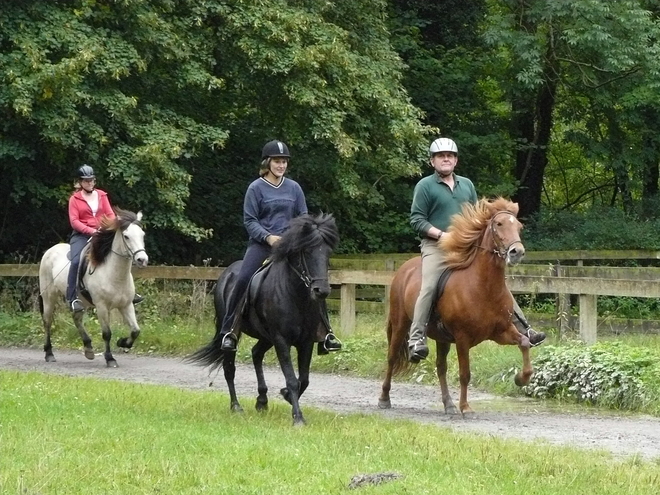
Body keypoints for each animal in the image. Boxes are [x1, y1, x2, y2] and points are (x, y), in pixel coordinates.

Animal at [187, 213, 338, 426]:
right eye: (306, 251)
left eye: (327, 253)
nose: (321, 291)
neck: (295, 296)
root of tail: (227, 272)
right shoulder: (281, 340)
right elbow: (292, 379)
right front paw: (298, 418)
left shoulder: (306, 342)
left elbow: (304, 379)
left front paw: (286, 397)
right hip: (236, 334)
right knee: (229, 368)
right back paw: (236, 407)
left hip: (266, 337)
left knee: (256, 353)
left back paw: (262, 400)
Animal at [378, 198, 532, 418]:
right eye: (499, 224)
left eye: (519, 226)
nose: (517, 252)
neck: (483, 287)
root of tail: (403, 269)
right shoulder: (462, 338)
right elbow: (465, 373)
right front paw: (466, 407)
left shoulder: (501, 332)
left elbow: (525, 343)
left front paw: (521, 379)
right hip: (401, 324)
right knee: (391, 358)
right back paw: (384, 399)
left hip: (442, 338)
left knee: (440, 367)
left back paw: (448, 404)